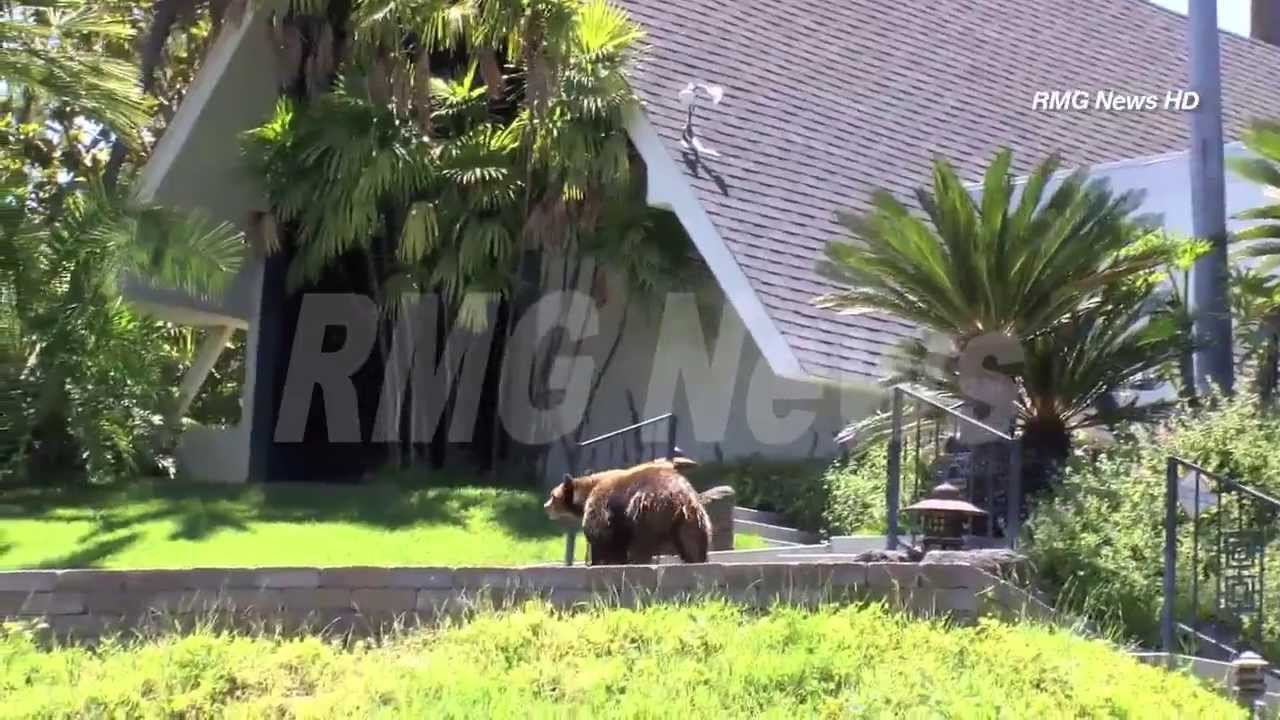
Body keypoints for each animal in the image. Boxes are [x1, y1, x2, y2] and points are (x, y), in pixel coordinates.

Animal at [544, 457, 711, 565]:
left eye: (552, 495)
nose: (546, 506)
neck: (586, 494)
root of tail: (679, 499)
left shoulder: (602, 506)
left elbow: (601, 535)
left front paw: (602, 560)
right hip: (692, 518)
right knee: (692, 542)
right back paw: (695, 559)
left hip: (645, 510)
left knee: (641, 542)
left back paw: (638, 560)